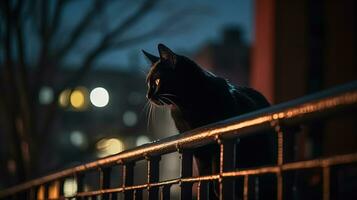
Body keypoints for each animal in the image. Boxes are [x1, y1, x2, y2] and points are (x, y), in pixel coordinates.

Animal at [143, 43, 272, 198]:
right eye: (148, 83)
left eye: (157, 81)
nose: (148, 95)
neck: (187, 107)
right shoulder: (199, 152)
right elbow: (204, 177)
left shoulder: (216, 147)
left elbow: (216, 172)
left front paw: (218, 189)